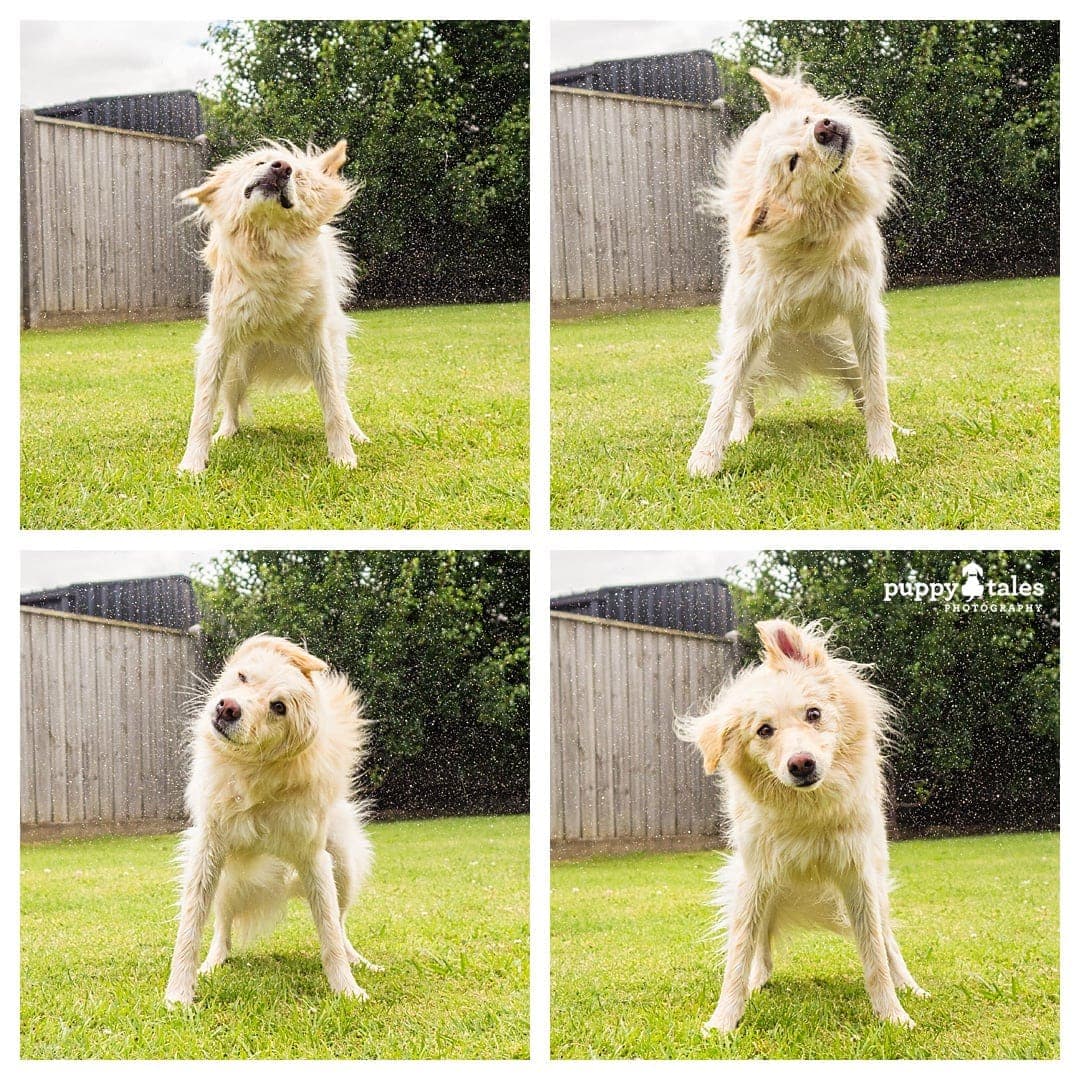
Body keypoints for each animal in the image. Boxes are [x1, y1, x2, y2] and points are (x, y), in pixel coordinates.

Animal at [162, 630, 378, 1002]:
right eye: (243, 677)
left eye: (279, 707)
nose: (228, 707)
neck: (253, 772)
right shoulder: (207, 852)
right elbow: (190, 928)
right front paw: (179, 995)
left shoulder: (313, 859)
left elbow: (329, 933)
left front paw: (347, 989)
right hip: (227, 880)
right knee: (222, 924)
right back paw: (215, 961)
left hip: (343, 866)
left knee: (341, 921)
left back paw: (358, 960)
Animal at [174, 140, 365, 473]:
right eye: (258, 162)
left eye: (299, 177)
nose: (282, 167)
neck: (267, 248)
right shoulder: (219, 342)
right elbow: (203, 407)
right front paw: (193, 463)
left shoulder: (318, 344)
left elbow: (332, 406)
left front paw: (343, 456)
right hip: (236, 365)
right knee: (230, 402)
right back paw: (226, 432)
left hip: (335, 355)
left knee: (342, 398)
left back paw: (357, 433)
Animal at [678, 617, 924, 1028]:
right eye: (764, 730)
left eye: (814, 713)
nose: (801, 764)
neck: (808, 812)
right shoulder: (755, 876)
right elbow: (739, 953)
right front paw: (724, 1021)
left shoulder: (857, 875)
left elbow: (875, 954)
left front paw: (893, 1016)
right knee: (759, 939)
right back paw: (758, 980)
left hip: (877, 881)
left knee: (889, 938)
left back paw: (910, 986)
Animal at [686, 67, 907, 473]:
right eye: (793, 162)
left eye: (806, 120)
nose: (824, 127)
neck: (815, 238)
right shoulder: (750, 323)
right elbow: (723, 398)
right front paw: (705, 459)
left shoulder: (863, 312)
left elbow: (876, 389)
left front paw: (883, 450)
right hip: (754, 347)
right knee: (743, 396)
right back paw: (740, 431)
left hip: (842, 350)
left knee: (861, 388)